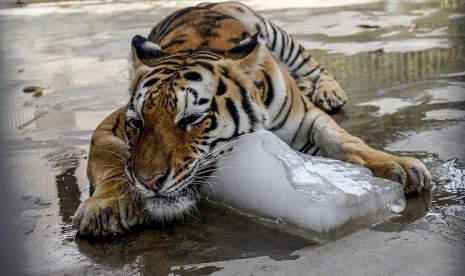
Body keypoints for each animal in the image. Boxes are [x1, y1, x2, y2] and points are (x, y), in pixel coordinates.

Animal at [72, 1, 432, 237]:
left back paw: (328, 90)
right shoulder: (108, 126)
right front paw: (105, 207)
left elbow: (344, 139)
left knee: (314, 64)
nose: (149, 182)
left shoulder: (307, 121)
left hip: (279, 35)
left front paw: (398, 166)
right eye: (137, 123)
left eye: (191, 118)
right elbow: (112, 162)